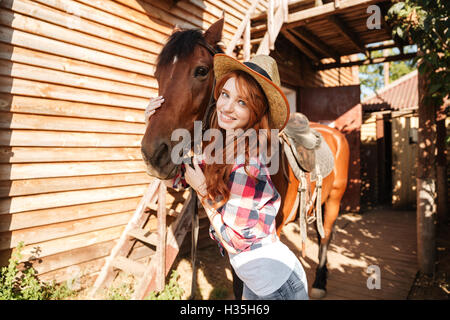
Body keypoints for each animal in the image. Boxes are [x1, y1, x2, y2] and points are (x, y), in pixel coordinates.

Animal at [142, 18, 350, 298]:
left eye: (201, 70)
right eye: (158, 75)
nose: (154, 154)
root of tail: (334, 133)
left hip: (335, 200)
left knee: (325, 236)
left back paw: (319, 281)